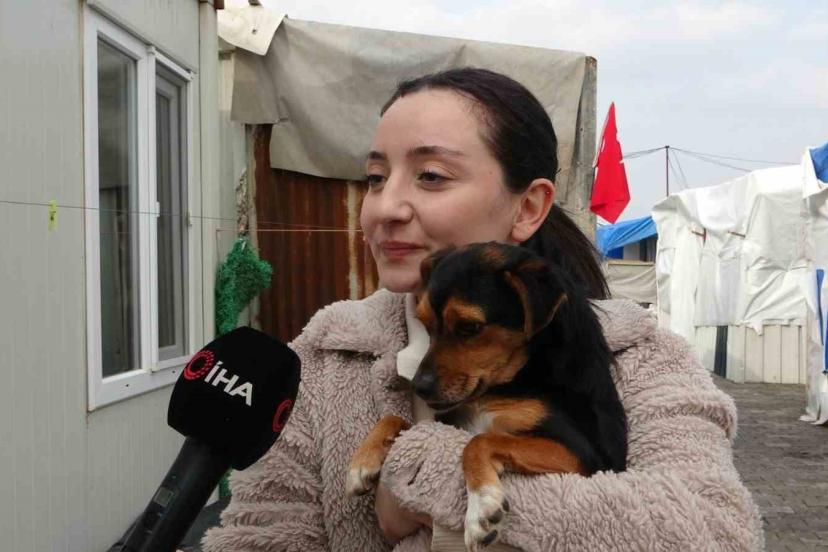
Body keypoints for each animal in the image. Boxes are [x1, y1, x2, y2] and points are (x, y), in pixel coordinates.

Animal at [346, 242, 628, 551]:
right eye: (425, 324)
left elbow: (480, 441)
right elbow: (397, 419)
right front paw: (362, 462)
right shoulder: (448, 422)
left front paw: (481, 503)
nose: (419, 386)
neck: (507, 383)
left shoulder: (582, 456)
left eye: (469, 327)